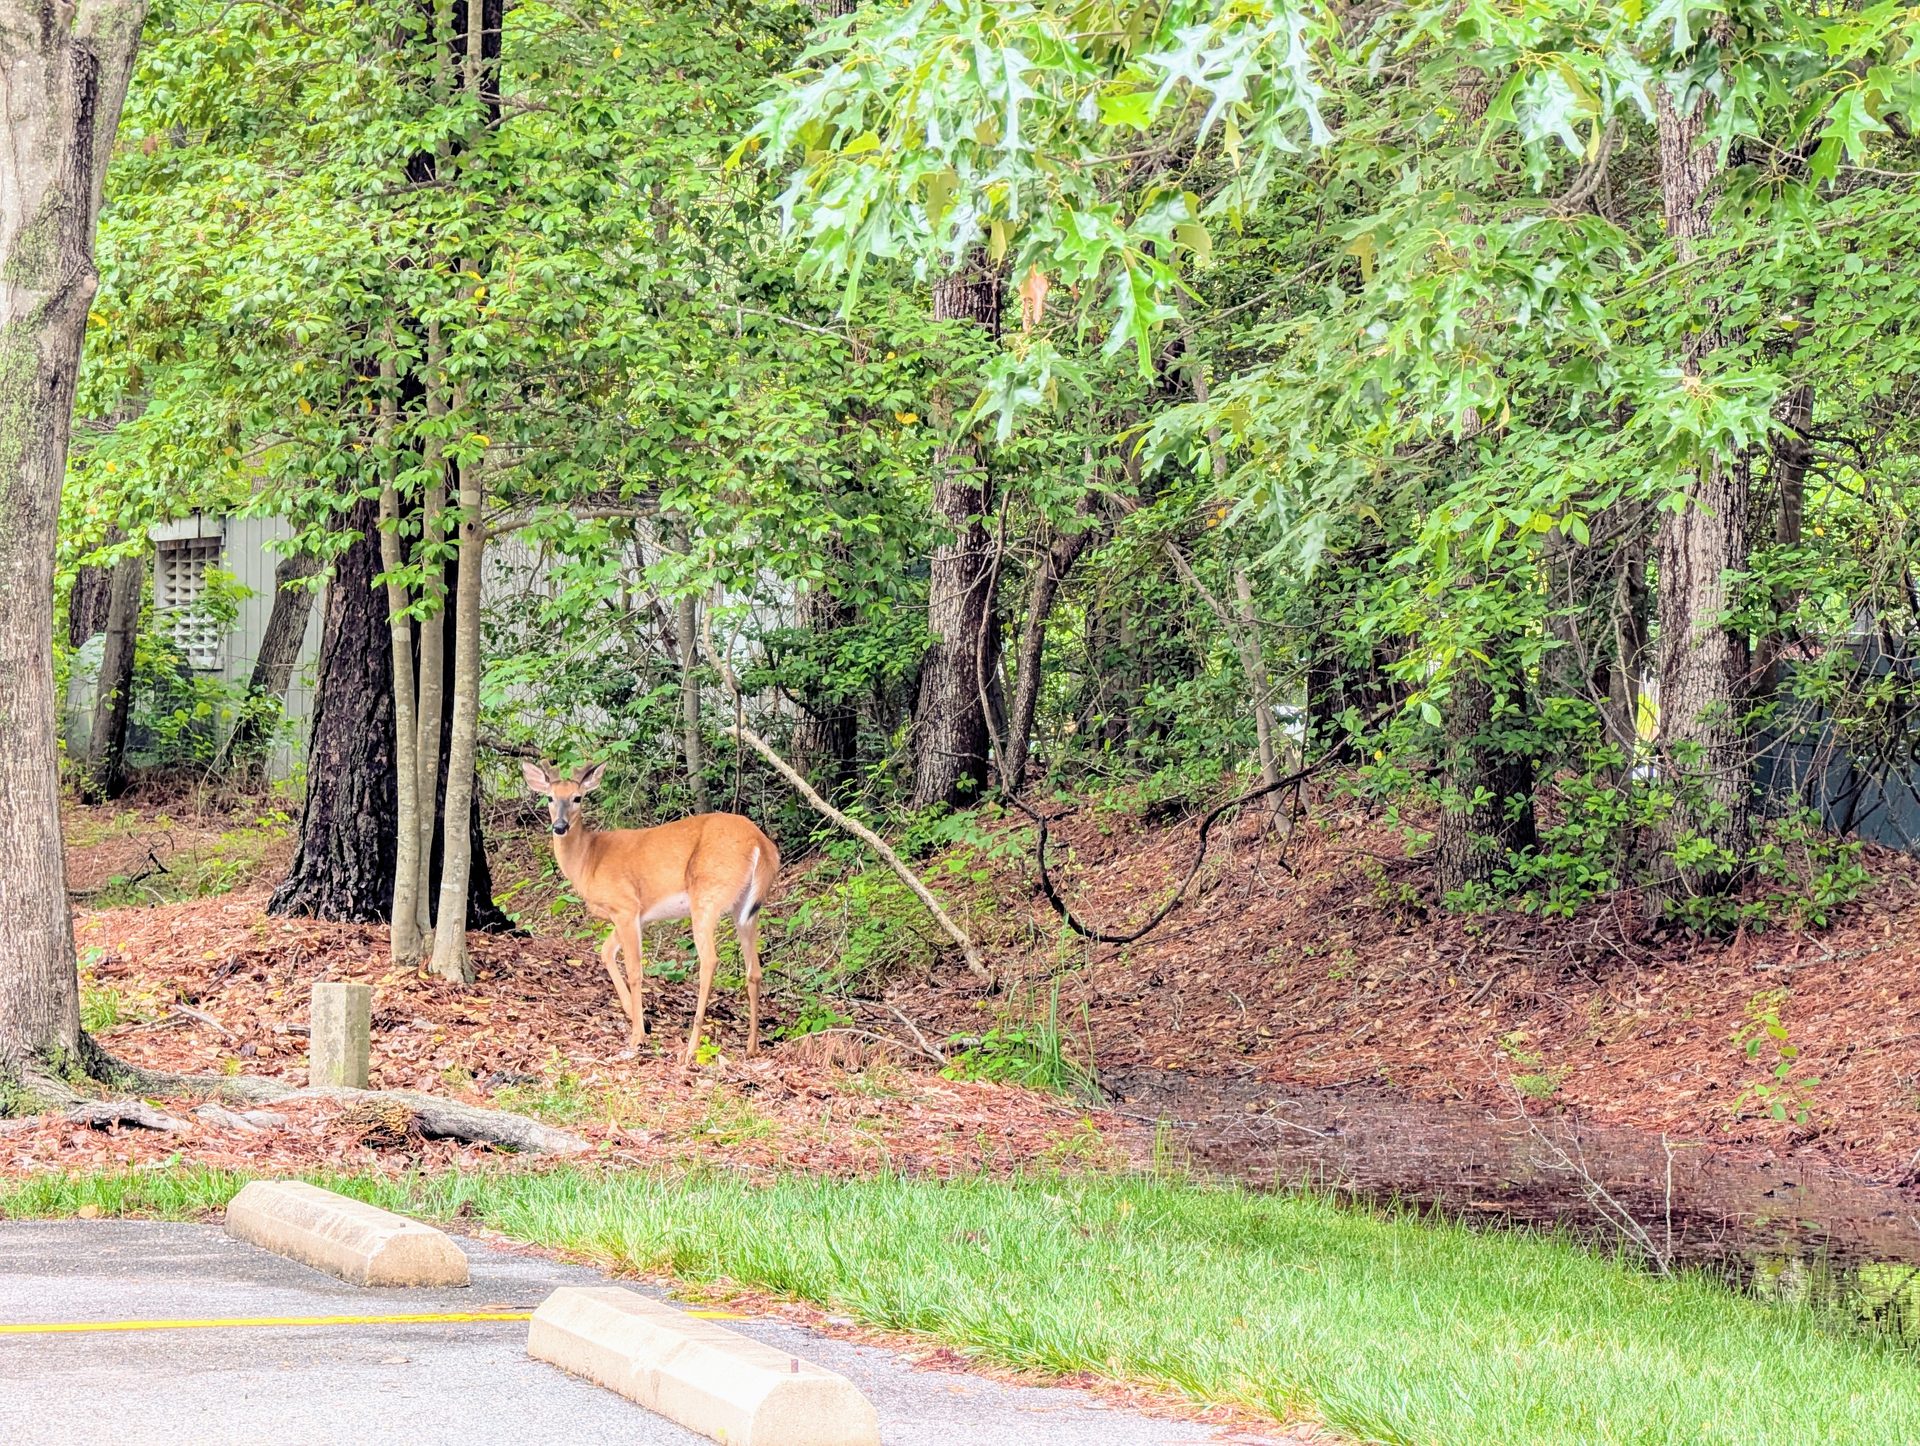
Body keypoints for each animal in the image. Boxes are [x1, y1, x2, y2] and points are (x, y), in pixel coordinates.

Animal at [522, 760, 780, 1068]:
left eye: (577, 798)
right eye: (550, 798)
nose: (559, 826)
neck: (589, 860)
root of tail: (761, 843)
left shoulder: (625, 905)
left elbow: (634, 970)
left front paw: (637, 1035)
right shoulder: (637, 916)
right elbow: (605, 951)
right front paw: (637, 1018)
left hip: (707, 894)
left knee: (709, 960)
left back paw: (690, 1048)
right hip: (746, 908)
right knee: (755, 970)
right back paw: (752, 1047)